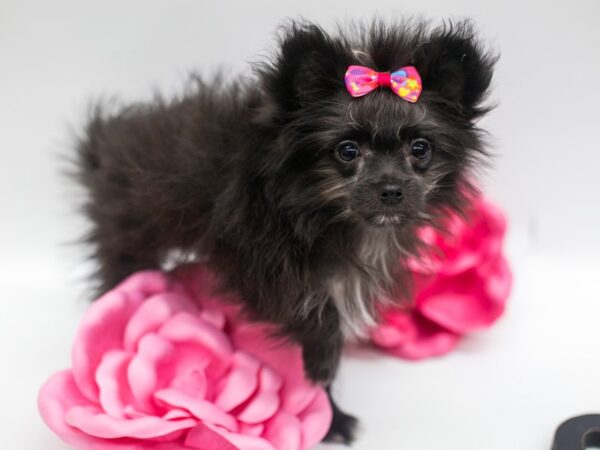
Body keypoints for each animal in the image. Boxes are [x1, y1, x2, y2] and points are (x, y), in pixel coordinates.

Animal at [72, 18, 496, 442]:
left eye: (421, 148)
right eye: (347, 151)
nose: (391, 190)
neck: (322, 213)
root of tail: (104, 145)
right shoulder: (263, 270)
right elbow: (320, 326)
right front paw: (329, 405)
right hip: (129, 234)